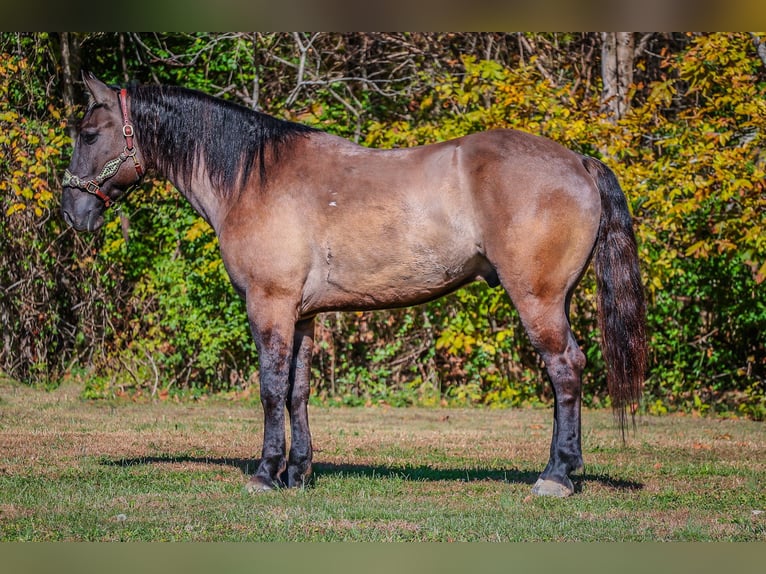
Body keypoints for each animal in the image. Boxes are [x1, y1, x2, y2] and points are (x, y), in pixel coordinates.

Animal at [61, 72, 646, 497]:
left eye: (89, 134)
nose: (72, 212)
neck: (254, 177)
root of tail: (579, 162)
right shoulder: (301, 315)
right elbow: (296, 391)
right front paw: (297, 473)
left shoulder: (269, 306)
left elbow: (270, 388)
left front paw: (265, 474)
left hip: (538, 300)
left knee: (565, 370)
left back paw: (556, 477)